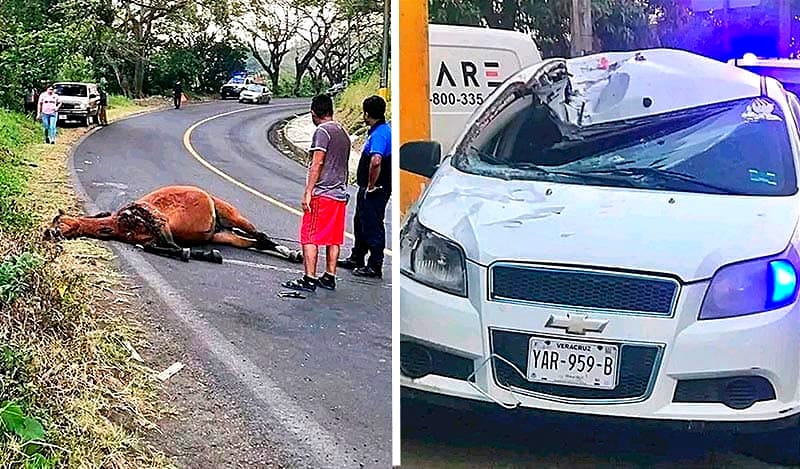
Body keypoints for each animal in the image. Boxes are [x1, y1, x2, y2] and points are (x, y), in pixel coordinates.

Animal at [45, 184, 304, 264]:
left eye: (58, 220)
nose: (47, 233)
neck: (122, 222)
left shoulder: (161, 225)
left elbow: (174, 248)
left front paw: (203, 255)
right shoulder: (149, 238)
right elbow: (151, 247)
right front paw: (208, 255)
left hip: (231, 214)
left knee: (261, 236)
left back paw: (293, 254)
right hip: (222, 234)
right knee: (254, 242)